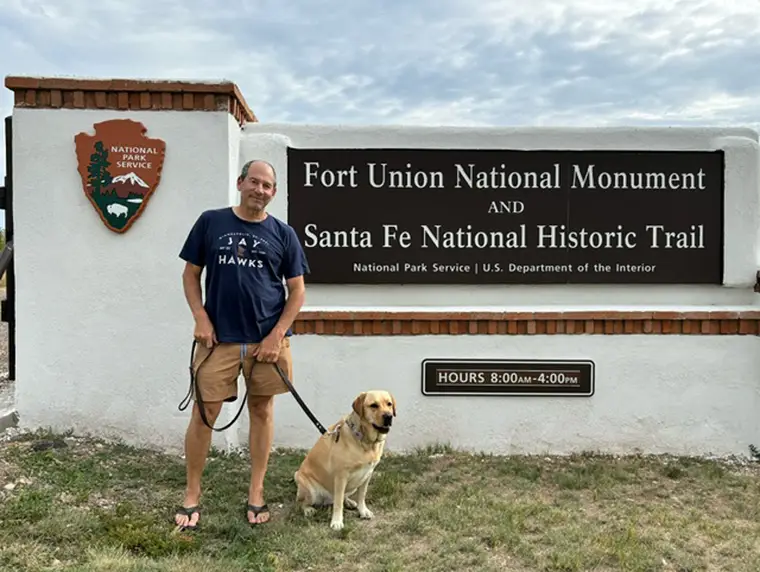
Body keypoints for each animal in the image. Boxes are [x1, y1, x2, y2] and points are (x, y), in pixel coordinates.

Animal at [292, 388, 398, 532]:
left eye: (389, 404)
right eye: (373, 405)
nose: (388, 416)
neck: (365, 441)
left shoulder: (367, 474)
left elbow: (362, 495)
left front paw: (363, 511)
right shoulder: (341, 476)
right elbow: (338, 503)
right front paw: (337, 522)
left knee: (343, 496)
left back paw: (350, 502)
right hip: (308, 487)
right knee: (302, 502)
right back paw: (308, 509)